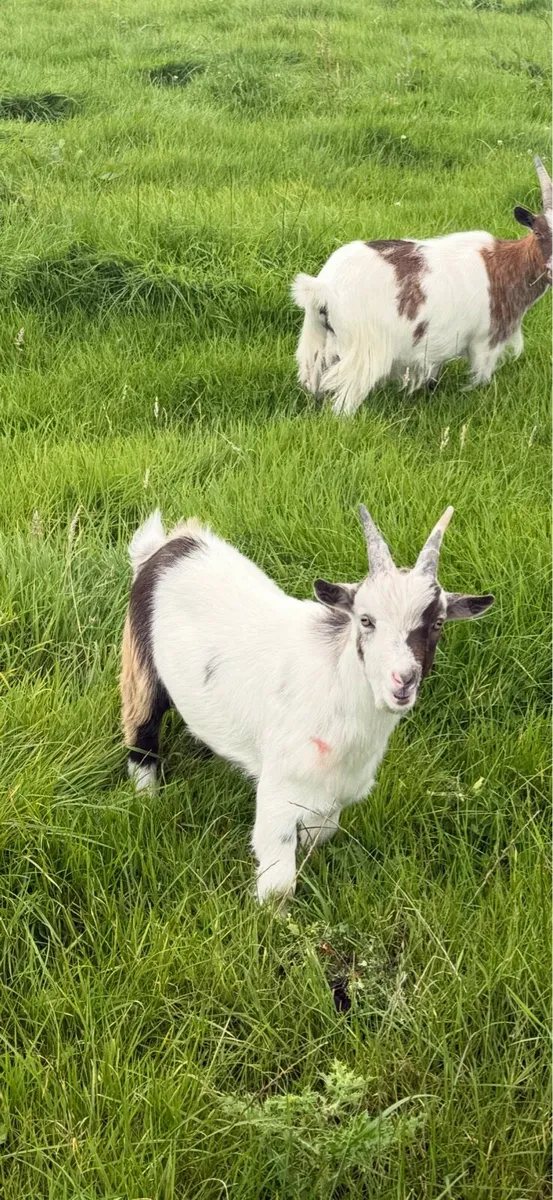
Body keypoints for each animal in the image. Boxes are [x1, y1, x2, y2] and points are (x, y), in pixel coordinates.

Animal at [120, 506, 494, 902]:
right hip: (139, 665)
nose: (403, 680)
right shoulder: (278, 792)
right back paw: (147, 800)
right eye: (366, 620)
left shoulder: (331, 800)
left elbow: (316, 839)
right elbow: (279, 882)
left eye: (438, 623)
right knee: (141, 732)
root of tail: (168, 545)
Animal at [292, 157, 552, 415]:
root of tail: (324, 288)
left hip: (315, 344)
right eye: (539, 232)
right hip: (365, 352)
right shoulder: (486, 341)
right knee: (344, 402)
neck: (505, 265)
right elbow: (481, 380)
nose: (551, 269)